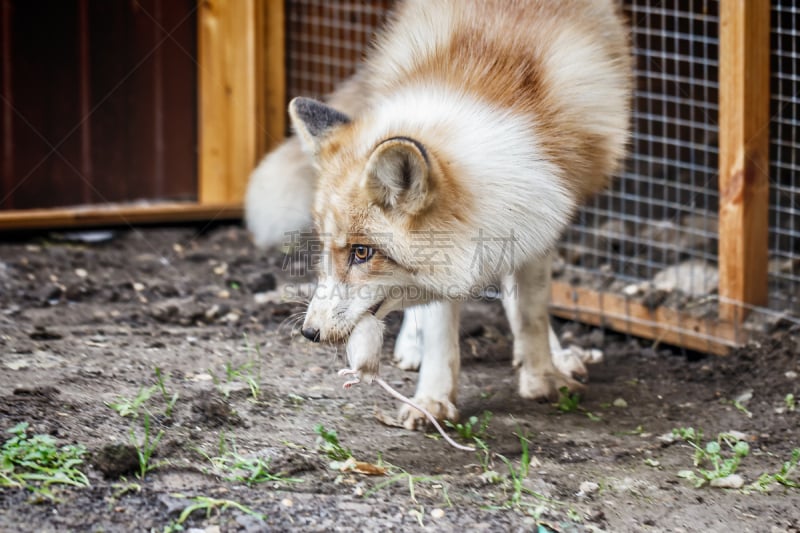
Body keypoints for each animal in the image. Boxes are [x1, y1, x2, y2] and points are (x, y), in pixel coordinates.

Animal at [244, 0, 632, 428]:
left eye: (362, 253)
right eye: (329, 248)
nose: (310, 332)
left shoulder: (543, 211)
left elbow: (530, 311)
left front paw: (542, 377)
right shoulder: (446, 258)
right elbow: (441, 329)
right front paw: (433, 399)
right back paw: (413, 347)